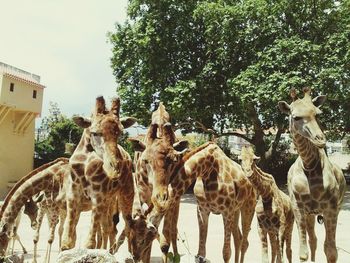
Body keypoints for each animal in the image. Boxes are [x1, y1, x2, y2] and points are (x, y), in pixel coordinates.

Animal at [278, 89, 346, 263]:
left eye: (318, 114)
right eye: (296, 117)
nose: (320, 139)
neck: (308, 165)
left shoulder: (330, 209)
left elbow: (331, 251)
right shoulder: (298, 208)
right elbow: (303, 252)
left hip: (334, 209)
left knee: (320, 242)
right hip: (310, 214)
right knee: (313, 240)